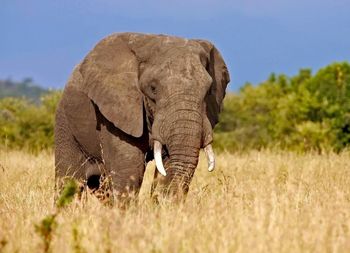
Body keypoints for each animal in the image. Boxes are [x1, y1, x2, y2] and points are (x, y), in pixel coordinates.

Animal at [54, 32, 230, 206]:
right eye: (153, 88)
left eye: (208, 90)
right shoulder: (117, 110)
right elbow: (130, 165)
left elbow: (167, 165)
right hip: (65, 122)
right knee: (70, 180)